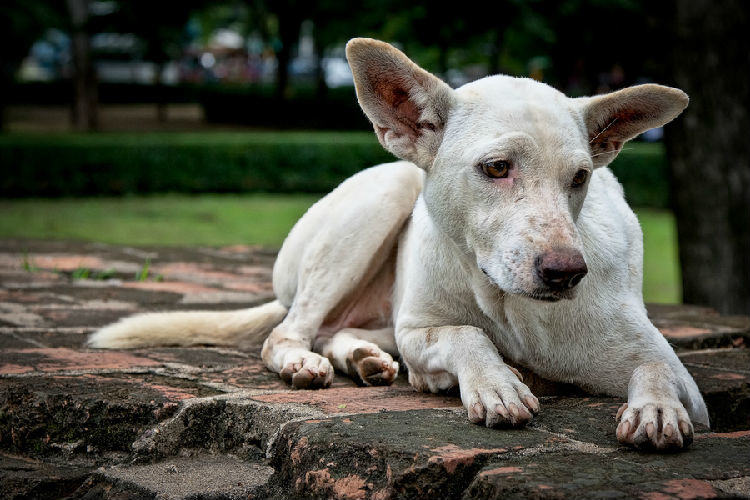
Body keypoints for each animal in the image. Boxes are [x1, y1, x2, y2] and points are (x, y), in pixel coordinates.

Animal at [89, 38, 712, 450]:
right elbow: (463, 335)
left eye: (580, 177)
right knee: (287, 332)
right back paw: (307, 362)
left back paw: (362, 359)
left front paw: (656, 409)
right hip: (380, 200)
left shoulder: (677, 376)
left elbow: (658, 369)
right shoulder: (420, 331)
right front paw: (495, 384)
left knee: (337, 329)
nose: (566, 272)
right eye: (497, 167)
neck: (511, 308)